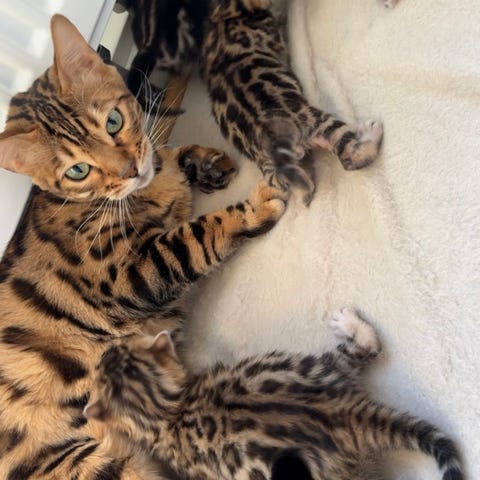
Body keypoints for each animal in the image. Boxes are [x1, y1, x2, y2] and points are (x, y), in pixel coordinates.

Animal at [0, 13, 287, 480]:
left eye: (114, 122)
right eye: (78, 171)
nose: (129, 170)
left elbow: (170, 153)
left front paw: (206, 162)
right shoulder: (129, 272)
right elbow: (193, 235)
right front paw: (252, 208)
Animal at [86, 308, 463, 480]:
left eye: (108, 356)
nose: (103, 353)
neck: (166, 411)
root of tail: (341, 411)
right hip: (312, 365)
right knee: (365, 348)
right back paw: (350, 324)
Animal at [200, 0, 384, 204]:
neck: (226, 15)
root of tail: (274, 140)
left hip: (268, 166)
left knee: (282, 180)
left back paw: (304, 192)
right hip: (318, 121)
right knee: (350, 156)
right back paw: (370, 134)